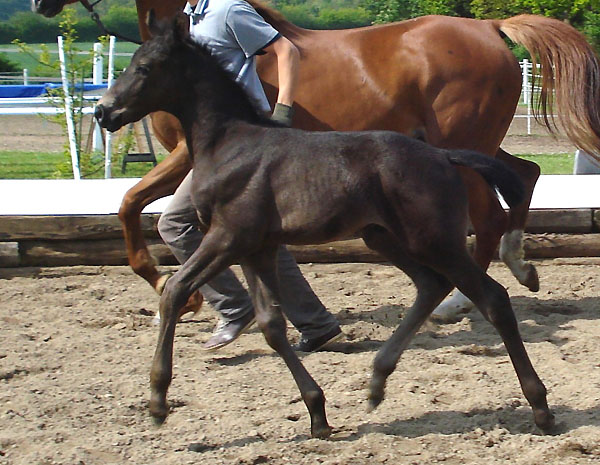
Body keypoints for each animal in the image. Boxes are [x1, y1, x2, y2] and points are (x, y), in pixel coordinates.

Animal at [31, 0, 600, 320]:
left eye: (145, 67)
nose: (103, 112)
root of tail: (492, 28)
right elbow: (132, 205)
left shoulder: (184, 153)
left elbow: (130, 202)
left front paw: (176, 292)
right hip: (474, 141)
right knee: (523, 175)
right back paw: (519, 266)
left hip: (467, 140)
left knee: (488, 215)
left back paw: (461, 300)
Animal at [95, 14, 556, 436]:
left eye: (144, 67)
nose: (104, 112)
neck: (231, 144)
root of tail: (444, 156)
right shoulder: (256, 247)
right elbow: (271, 325)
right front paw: (317, 412)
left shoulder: (227, 237)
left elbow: (174, 290)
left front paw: (157, 400)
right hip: (385, 238)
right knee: (431, 284)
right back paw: (377, 380)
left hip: (433, 240)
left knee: (491, 297)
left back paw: (539, 406)